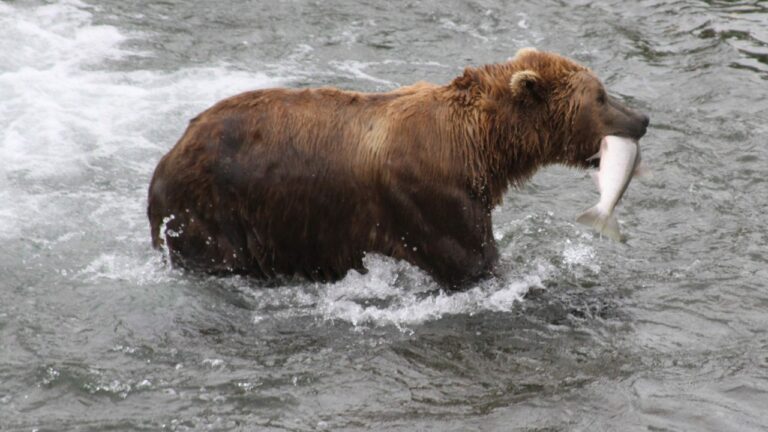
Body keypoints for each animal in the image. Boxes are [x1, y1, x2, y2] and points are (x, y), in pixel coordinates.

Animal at [147, 48, 649, 288]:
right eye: (600, 96)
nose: (642, 118)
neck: (480, 147)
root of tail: (169, 153)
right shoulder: (431, 198)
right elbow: (475, 263)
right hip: (211, 209)